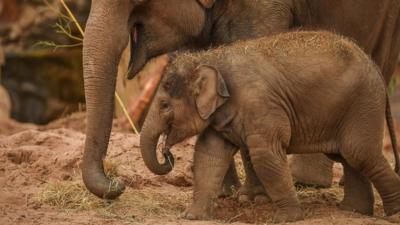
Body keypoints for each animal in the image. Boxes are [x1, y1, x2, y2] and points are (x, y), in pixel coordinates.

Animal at [140, 30, 400, 222]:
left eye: (164, 105)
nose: (167, 153)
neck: (211, 57)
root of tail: (375, 68)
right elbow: (208, 155)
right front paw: (191, 216)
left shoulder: (260, 104)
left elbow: (266, 156)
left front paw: (287, 219)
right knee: (348, 157)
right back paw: (353, 211)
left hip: (363, 105)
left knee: (359, 154)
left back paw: (392, 214)